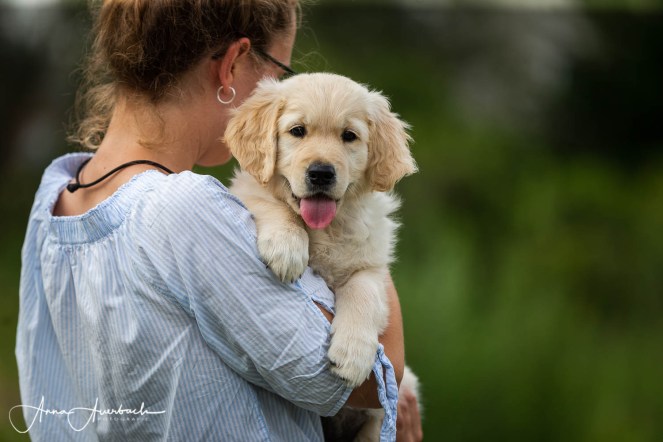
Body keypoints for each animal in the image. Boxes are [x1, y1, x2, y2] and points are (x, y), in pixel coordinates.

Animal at [226, 73, 420, 441]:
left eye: (349, 136)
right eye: (297, 131)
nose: (321, 173)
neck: (325, 229)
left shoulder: (372, 266)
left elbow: (363, 293)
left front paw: (353, 355)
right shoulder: (248, 192)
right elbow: (270, 203)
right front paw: (287, 247)